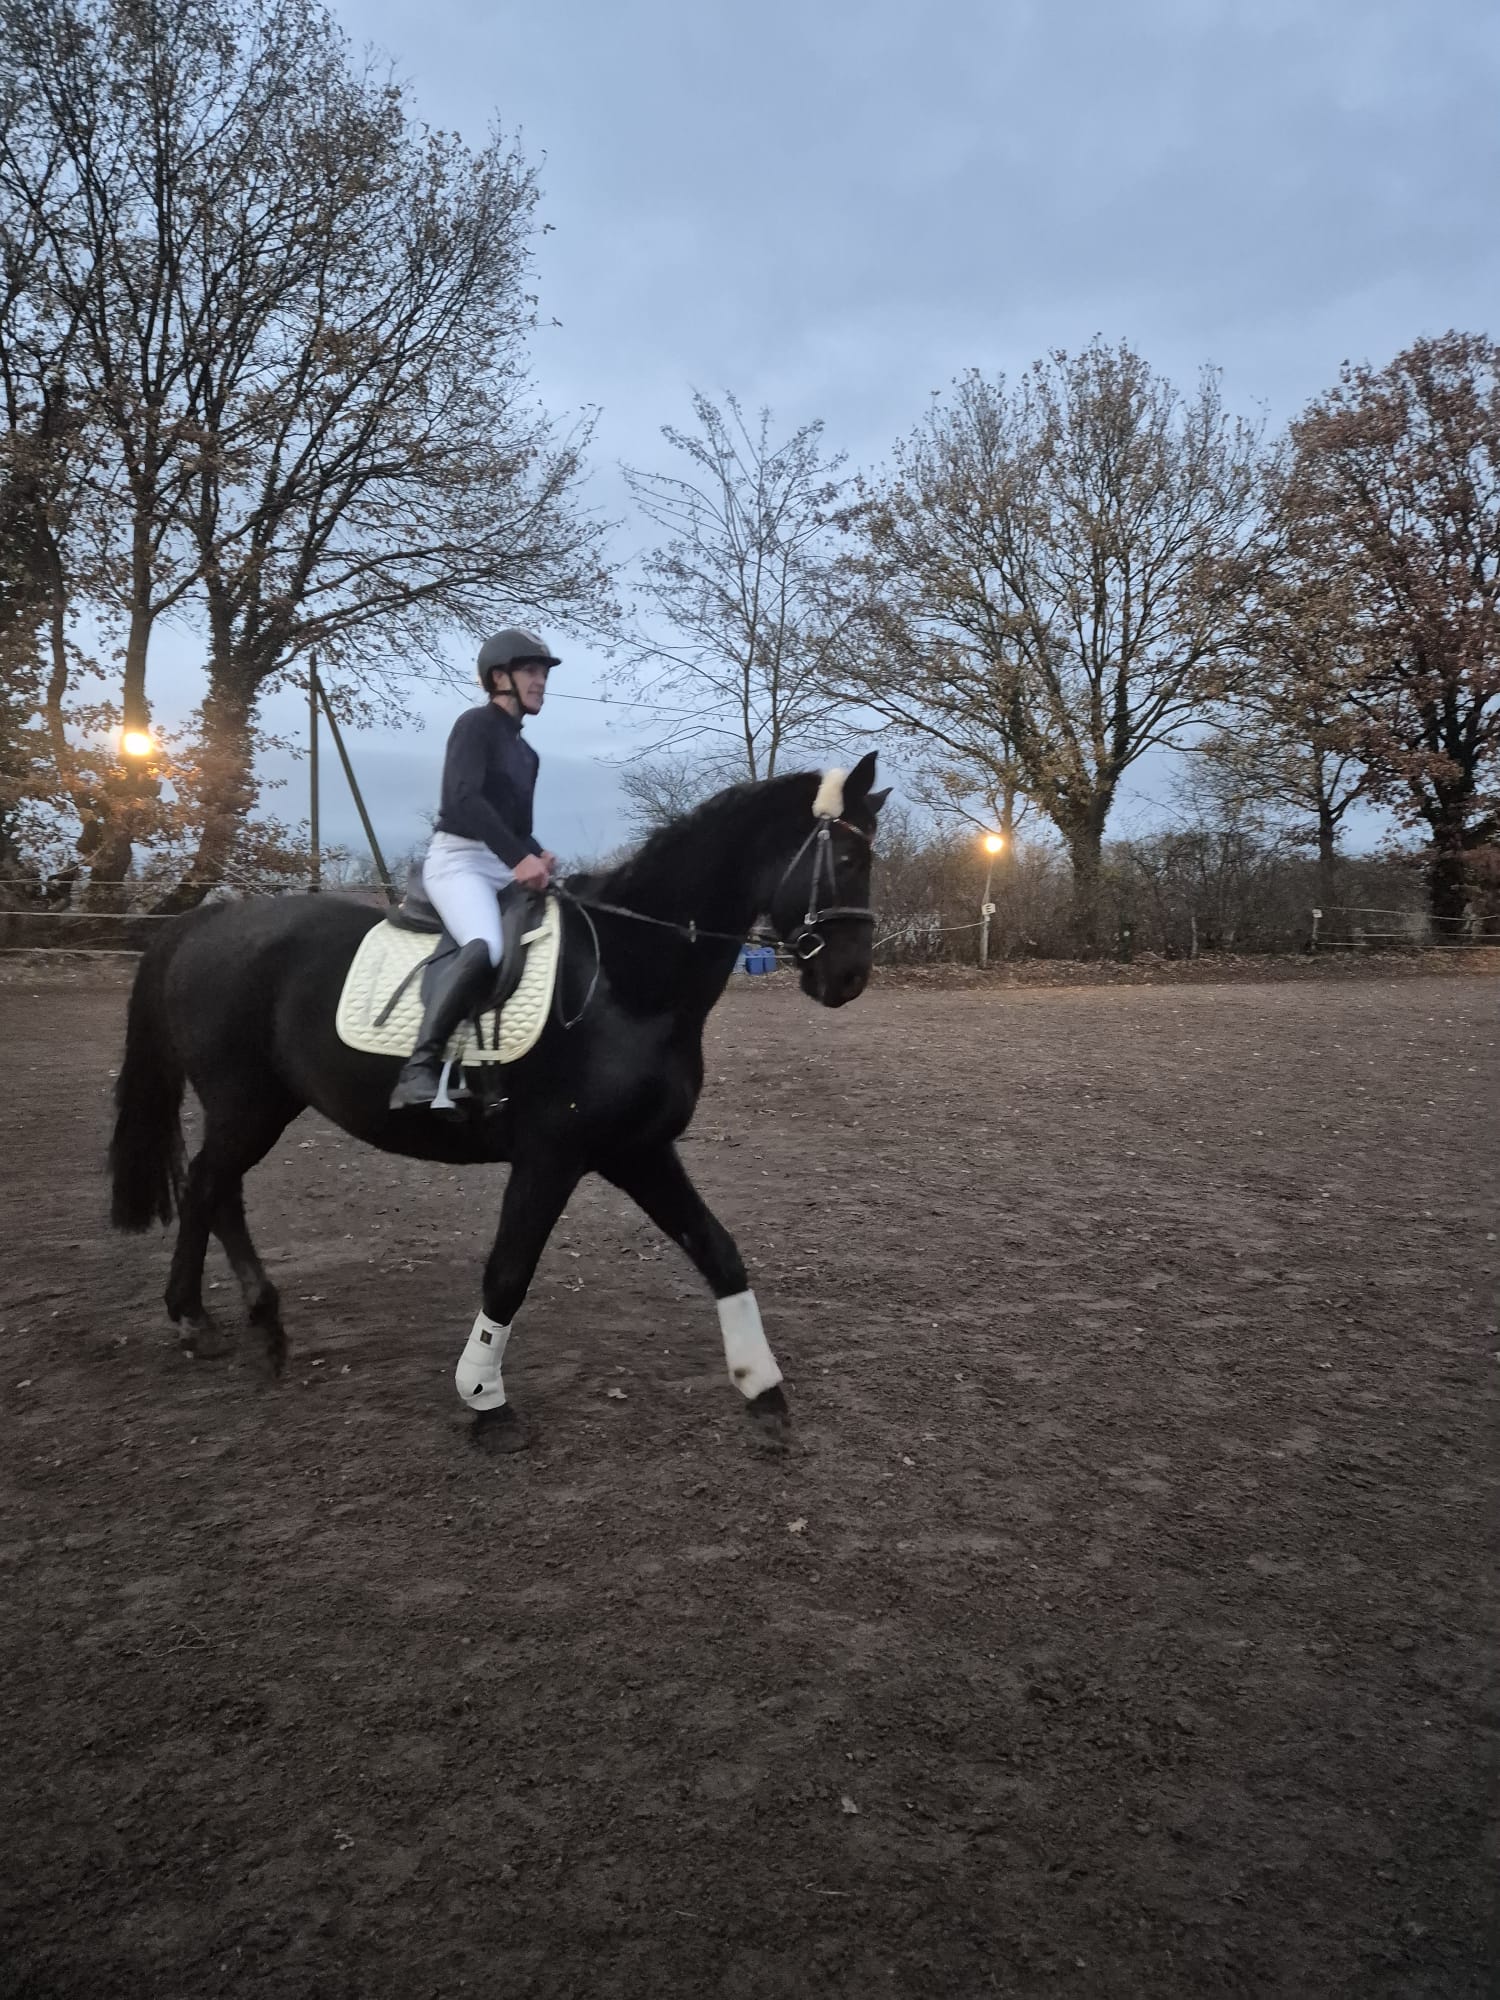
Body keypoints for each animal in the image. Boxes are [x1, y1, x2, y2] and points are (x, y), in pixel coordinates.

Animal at [107, 754, 887, 1453]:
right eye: (849, 857)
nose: (850, 978)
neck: (625, 979)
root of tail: (205, 923)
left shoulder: (636, 1150)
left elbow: (719, 1253)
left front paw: (764, 1392)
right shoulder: (551, 1157)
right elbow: (508, 1272)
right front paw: (485, 1402)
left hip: (263, 1105)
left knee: (220, 1191)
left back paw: (257, 1324)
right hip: (246, 1102)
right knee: (207, 1184)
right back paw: (196, 1320)